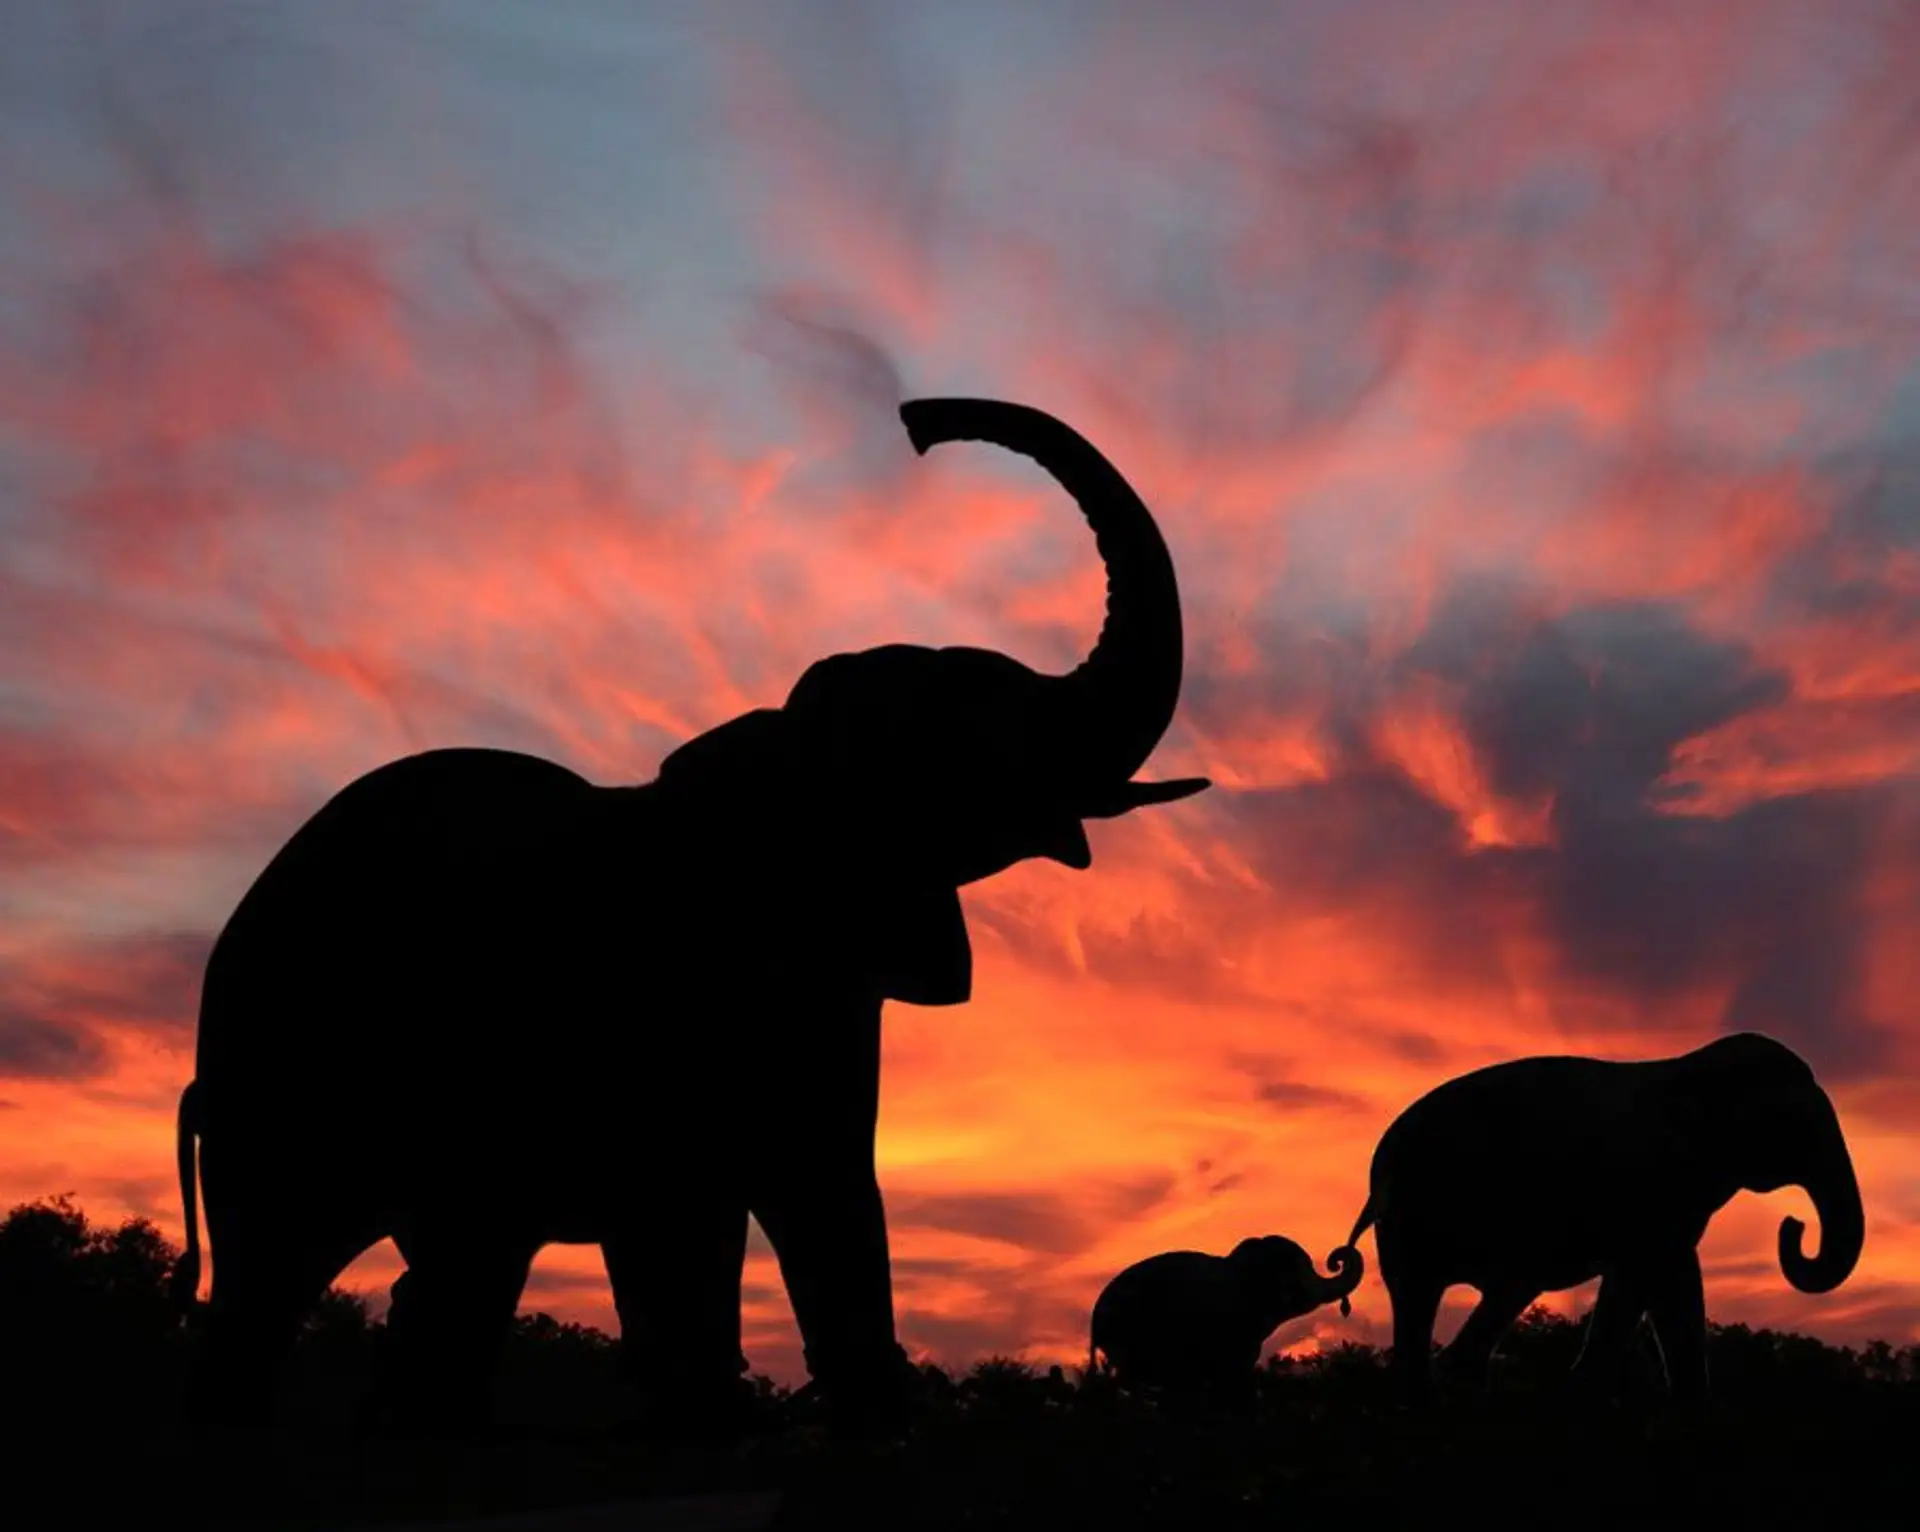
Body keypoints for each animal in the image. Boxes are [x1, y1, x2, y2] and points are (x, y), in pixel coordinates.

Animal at [166, 397, 1211, 1440]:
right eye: (960, 737)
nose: (918, 424)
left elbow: (814, 1204)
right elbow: (728, 1230)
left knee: (454, 1279)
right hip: (286, 1068)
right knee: (284, 1280)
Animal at [1340, 1032, 1865, 1403]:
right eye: (1795, 1124)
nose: (1794, 1225)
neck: (1690, 1071)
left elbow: (1652, 1283)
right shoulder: (1651, 1185)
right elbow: (1655, 1278)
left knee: (1498, 1293)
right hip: (1415, 1217)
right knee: (1420, 1297)